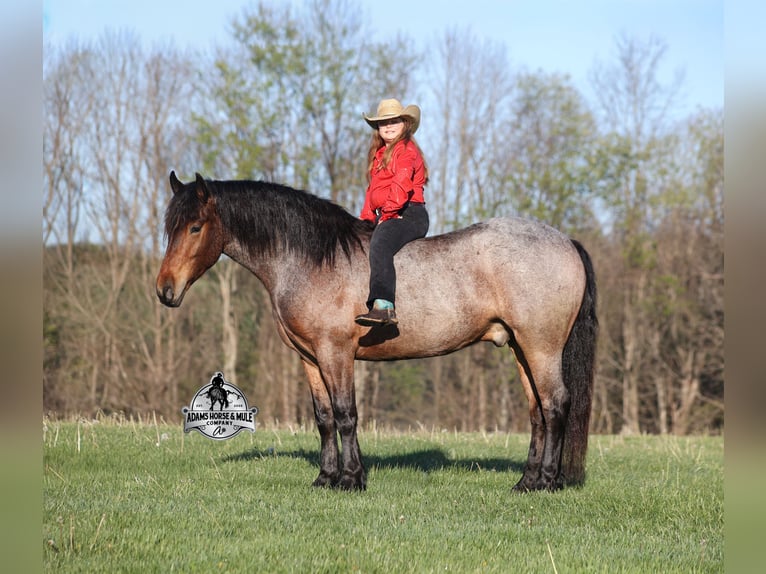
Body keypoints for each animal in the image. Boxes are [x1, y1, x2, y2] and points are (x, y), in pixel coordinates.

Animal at [156, 172, 598, 492]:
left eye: (195, 227)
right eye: (170, 228)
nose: (165, 290)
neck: (313, 260)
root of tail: (566, 241)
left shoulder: (335, 353)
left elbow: (346, 414)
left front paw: (352, 479)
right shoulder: (310, 359)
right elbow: (323, 418)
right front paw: (325, 478)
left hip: (542, 347)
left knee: (556, 405)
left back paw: (547, 482)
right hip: (522, 348)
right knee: (537, 412)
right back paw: (527, 481)